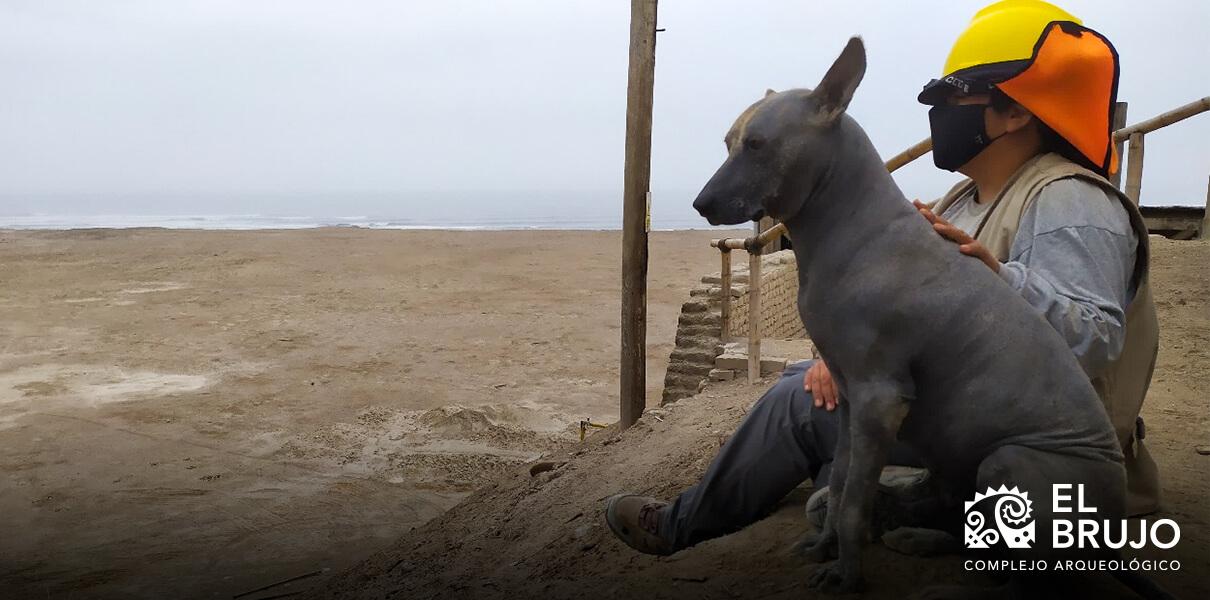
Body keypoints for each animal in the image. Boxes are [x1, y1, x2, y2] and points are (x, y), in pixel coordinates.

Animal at [692, 38, 1171, 600]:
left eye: (758, 144)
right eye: (729, 141)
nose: (700, 203)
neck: (854, 228)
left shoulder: (880, 400)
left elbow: (853, 504)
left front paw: (847, 575)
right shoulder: (852, 402)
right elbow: (840, 487)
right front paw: (825, 548)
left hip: (1008, 462)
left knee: (1032, 569)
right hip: (957, 464)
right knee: (970, 529)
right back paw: (919, 538)